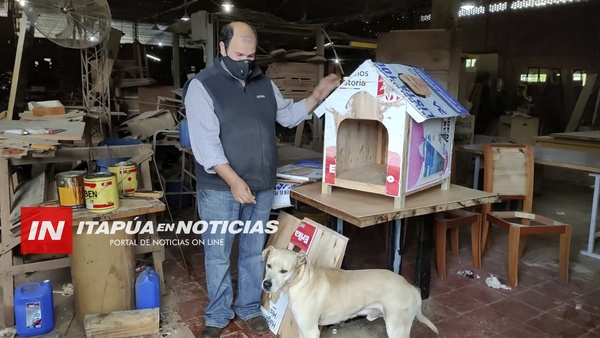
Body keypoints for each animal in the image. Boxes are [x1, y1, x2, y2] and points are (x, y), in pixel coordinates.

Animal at [260, 246, 438, 338]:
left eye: (284, 271)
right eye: (268, 265)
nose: (266, 284)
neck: (301, 281)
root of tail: (410, 286)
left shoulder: (310, 330)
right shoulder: (303, 329)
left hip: (397, 329)